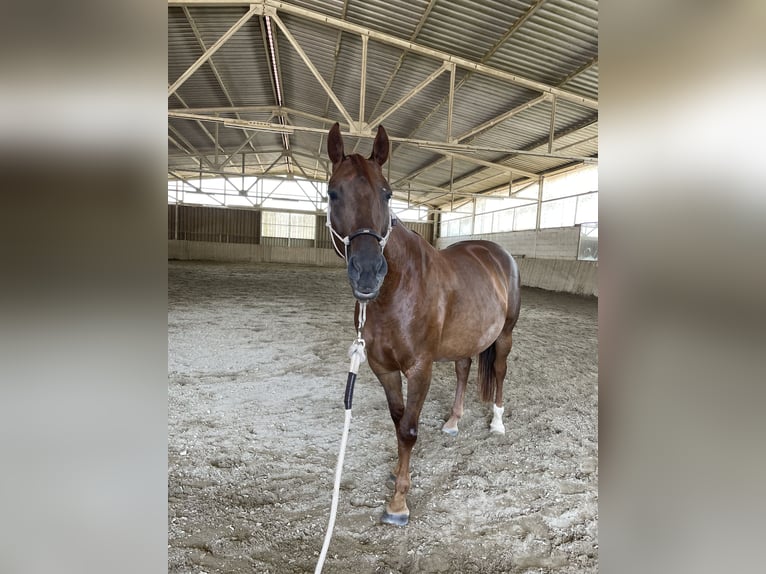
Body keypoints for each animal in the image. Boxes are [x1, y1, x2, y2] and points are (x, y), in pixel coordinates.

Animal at [325, 122, 521, 526]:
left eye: (387, 193)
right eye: (334, 192)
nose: (368, 272)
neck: (397, 289)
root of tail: (496, 252)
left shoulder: (420, 368)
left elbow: (410, 429)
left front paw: (398, 502)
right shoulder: (382, 367)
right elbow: (398, 420)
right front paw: (398, 473)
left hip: (505, 335)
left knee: (500, 371)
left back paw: (496, 422)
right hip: (466, 338)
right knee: (463, 369)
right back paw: (453, 422)